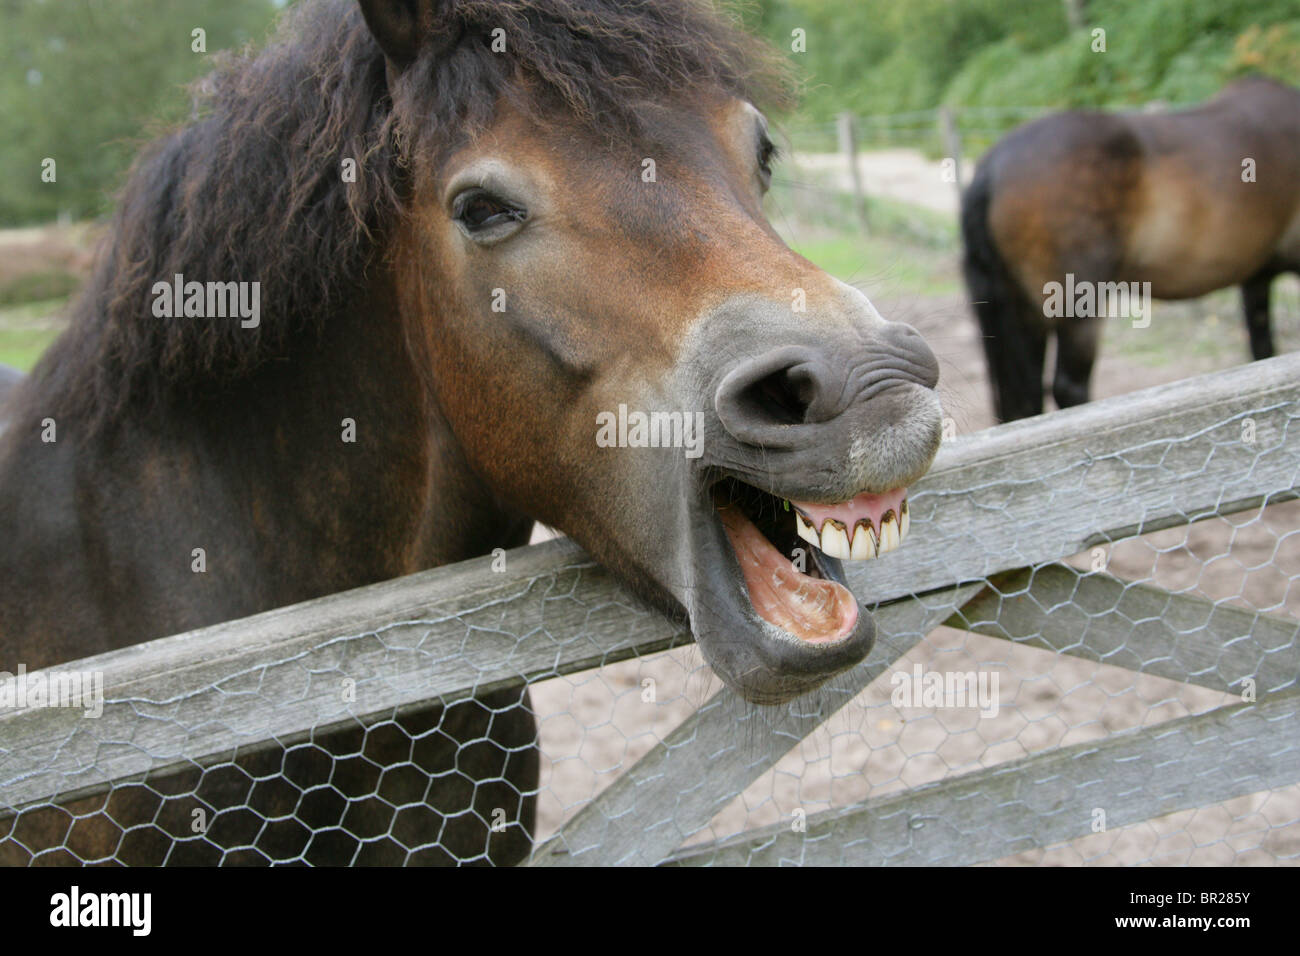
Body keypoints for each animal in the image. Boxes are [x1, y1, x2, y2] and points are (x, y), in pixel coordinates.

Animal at [961, 76, 1300, 422]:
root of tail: (993, 167)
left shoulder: (1257, 278)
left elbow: (1263, 352)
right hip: (1078, 311)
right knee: (1069, 388)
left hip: (1023, 315)